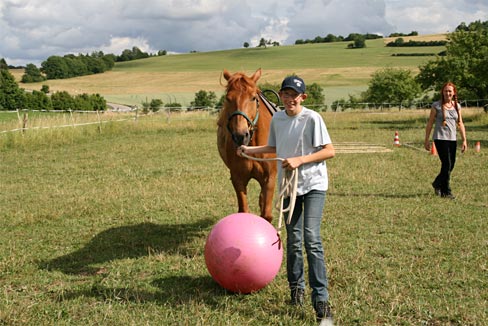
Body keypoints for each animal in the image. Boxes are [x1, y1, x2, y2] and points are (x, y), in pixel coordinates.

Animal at [217, 68, 278, 222]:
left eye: (253, 98)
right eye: (228, 98)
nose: (240, 135)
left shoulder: (270, 178)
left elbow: (266, 214)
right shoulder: (238, 178)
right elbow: (244, 210)